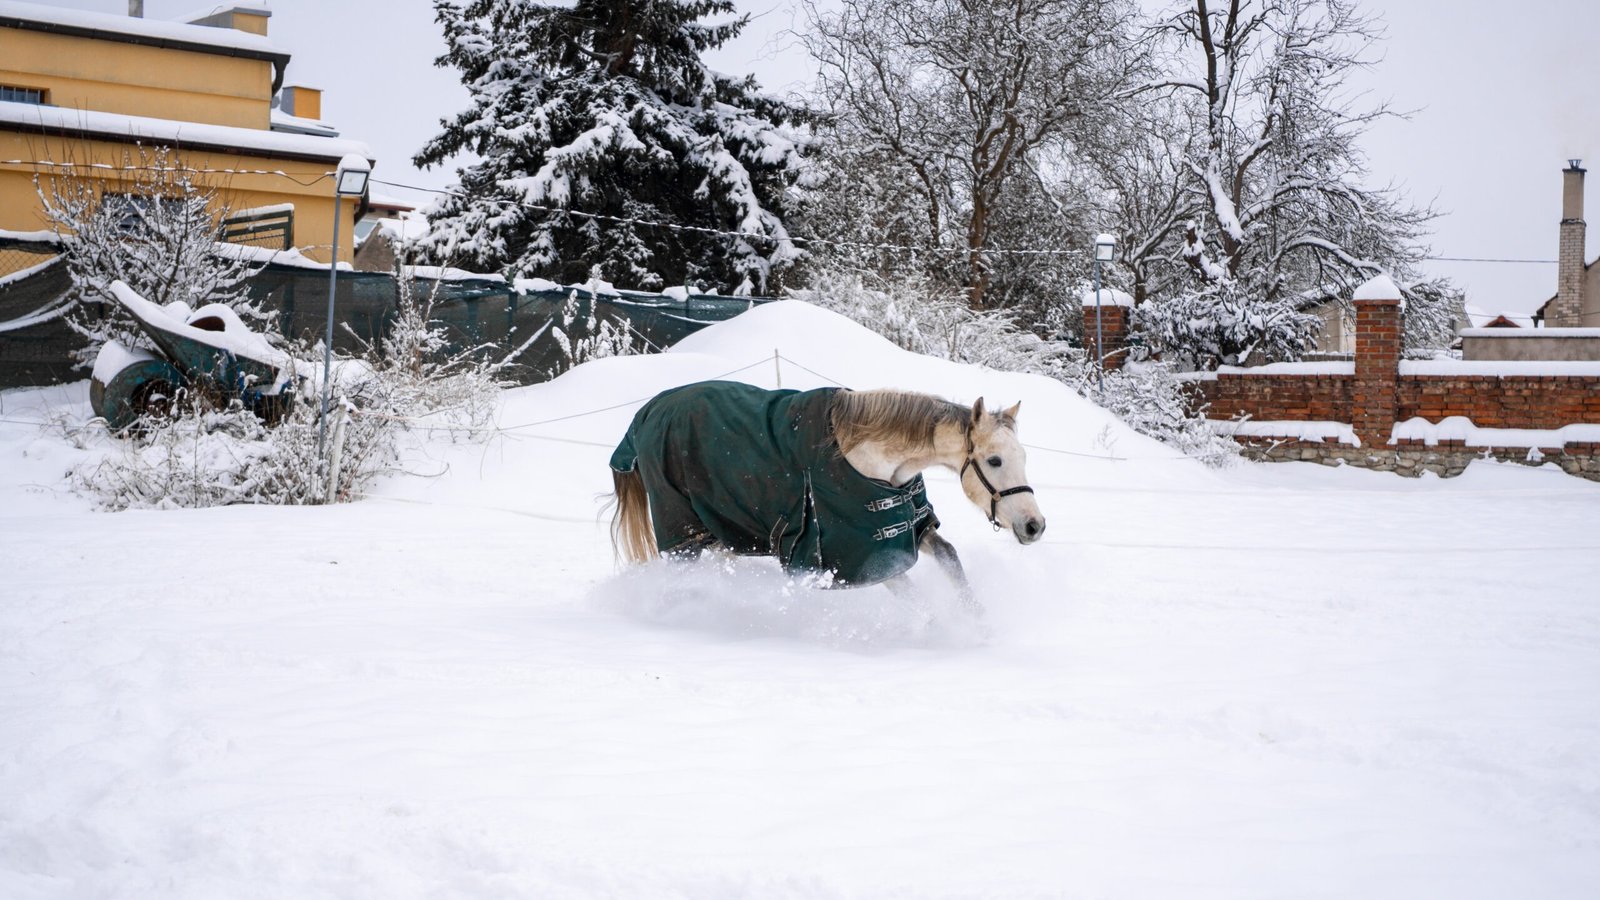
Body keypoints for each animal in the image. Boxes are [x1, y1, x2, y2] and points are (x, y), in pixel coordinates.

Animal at [607, 380, 1044, 601]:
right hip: (684, 536)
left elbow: (952, 561)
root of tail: (647, 412)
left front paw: (980, 626)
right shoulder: (859, 559)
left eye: (1022, 455)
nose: (1035, 525)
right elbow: (915, 600)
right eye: (994, 461)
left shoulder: (911, 531)